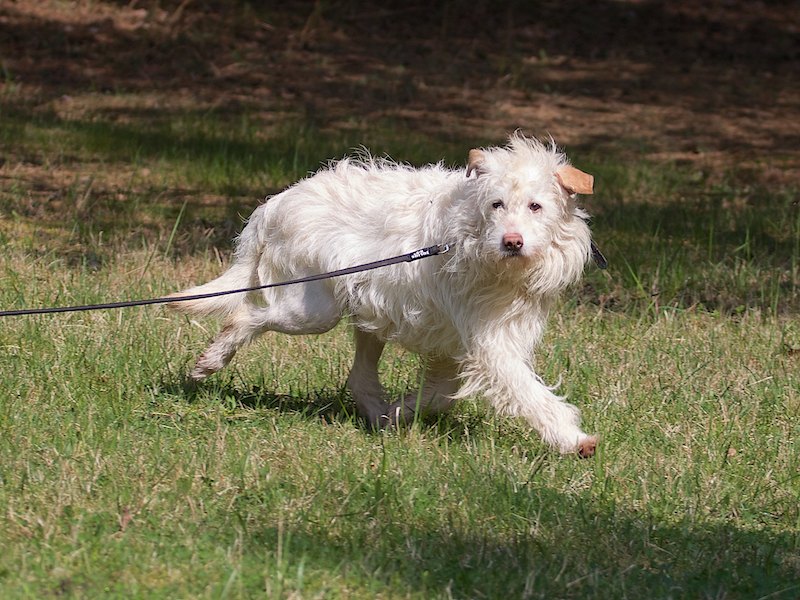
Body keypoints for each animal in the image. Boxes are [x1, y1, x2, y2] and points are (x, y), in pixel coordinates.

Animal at [169, 133, 598, 456]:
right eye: (497, 204)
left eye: (535, 206)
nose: (511, 242)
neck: (473, 242)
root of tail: (276, 204)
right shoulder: (489, 346)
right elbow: (527, 392)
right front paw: (572, 438)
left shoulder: (455, 345)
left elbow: (440, 394)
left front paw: (400, 412)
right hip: (312, 311)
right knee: (246, 316)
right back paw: (211, 360)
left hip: (369, 313)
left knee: (359, 377)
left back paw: (378, 416)